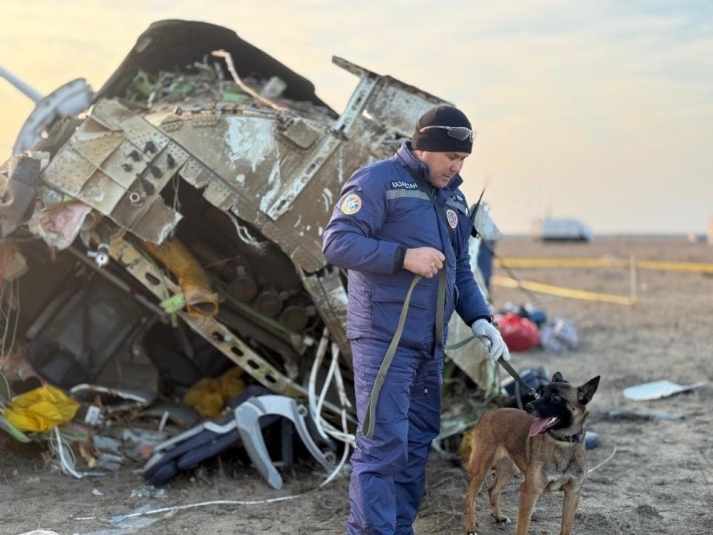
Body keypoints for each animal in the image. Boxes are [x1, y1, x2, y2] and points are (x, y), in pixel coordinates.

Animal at [464, 372, 596, 535]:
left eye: (555, 397)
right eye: (541, 393)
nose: (528, 406)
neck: (563, 443)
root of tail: (490, 412)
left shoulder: (572, 494)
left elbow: (566, 527)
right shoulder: (529, 493)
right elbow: (523, 527)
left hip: (508, 470)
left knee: (493, 490)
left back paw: (498, 517)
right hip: (481, 470)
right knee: (470, 497)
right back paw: (471, 526)